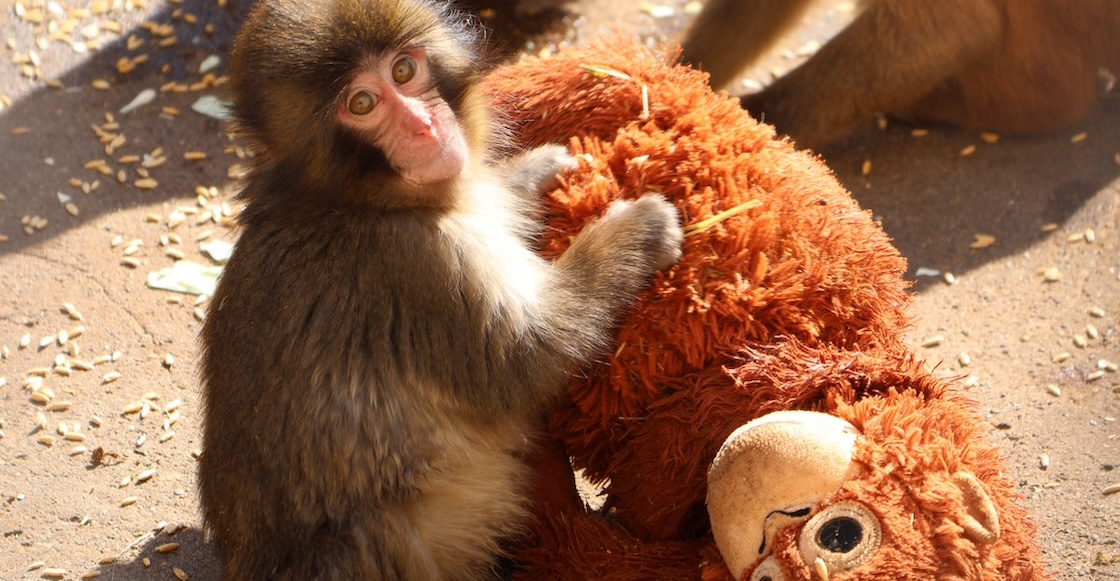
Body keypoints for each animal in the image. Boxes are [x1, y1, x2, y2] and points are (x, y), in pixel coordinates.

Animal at [196, 0, 684, 579]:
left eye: (404, 71)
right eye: (362, 104)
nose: (424, 126)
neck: (351, 200)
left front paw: (532, 172)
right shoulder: (416, 264)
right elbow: (525, 360)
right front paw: (636, 230)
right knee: (373, 532)